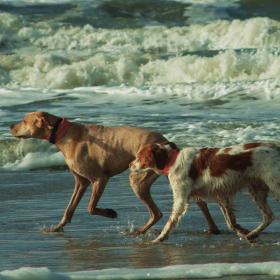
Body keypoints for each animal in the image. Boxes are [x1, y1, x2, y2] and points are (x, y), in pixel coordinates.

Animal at [9, 111, 221, 234]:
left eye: (24, 120)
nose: (10, 126)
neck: (63, 133)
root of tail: (165, 142)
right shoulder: (81, 182)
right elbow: (69, 208)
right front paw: (58, 227)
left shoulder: (99, 179)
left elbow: (90, 207)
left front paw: (110, 213)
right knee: (200, 201)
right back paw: (213, 228)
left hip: (138, 178)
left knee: (157, 213)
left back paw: (139, 231)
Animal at [131, 141, 280, 242]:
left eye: (139, 156)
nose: (130, 165)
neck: (173, 160)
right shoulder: (222, 196)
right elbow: (231, 222)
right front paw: (242, 233)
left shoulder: (180, 198)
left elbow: (170, 222)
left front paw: (159, 239)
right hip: (257, 190)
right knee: (268, 216)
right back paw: (252, 234)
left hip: (274, 186)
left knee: (269, 215)